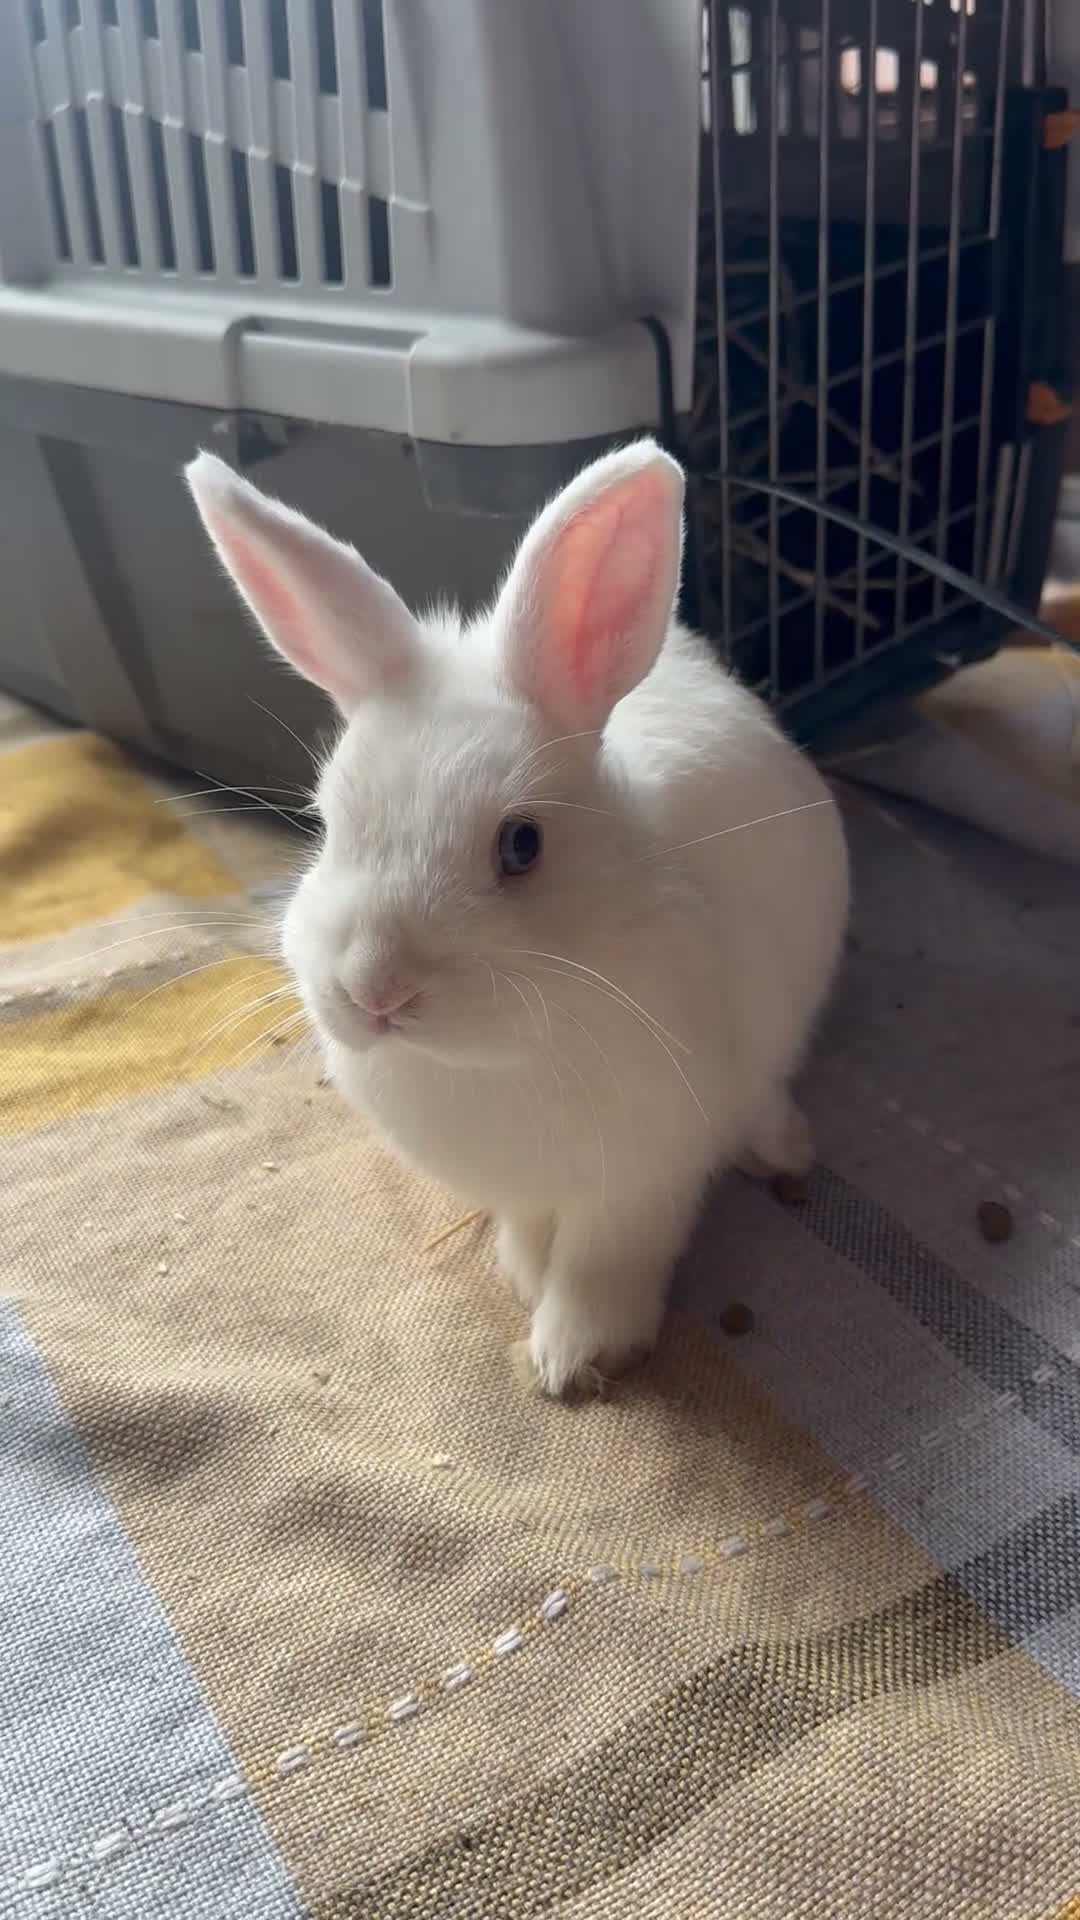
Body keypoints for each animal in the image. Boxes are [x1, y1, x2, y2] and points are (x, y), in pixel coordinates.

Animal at [186, 440, 849, 1396]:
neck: (492, 1063)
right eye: (326, 824)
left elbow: (606, 1260)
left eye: (522, 845)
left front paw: (575, 1355)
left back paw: (784, 1147)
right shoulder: (525, 1184)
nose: (374, 989)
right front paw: (523, 1274)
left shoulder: (645, 1178)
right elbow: (535, 1233)